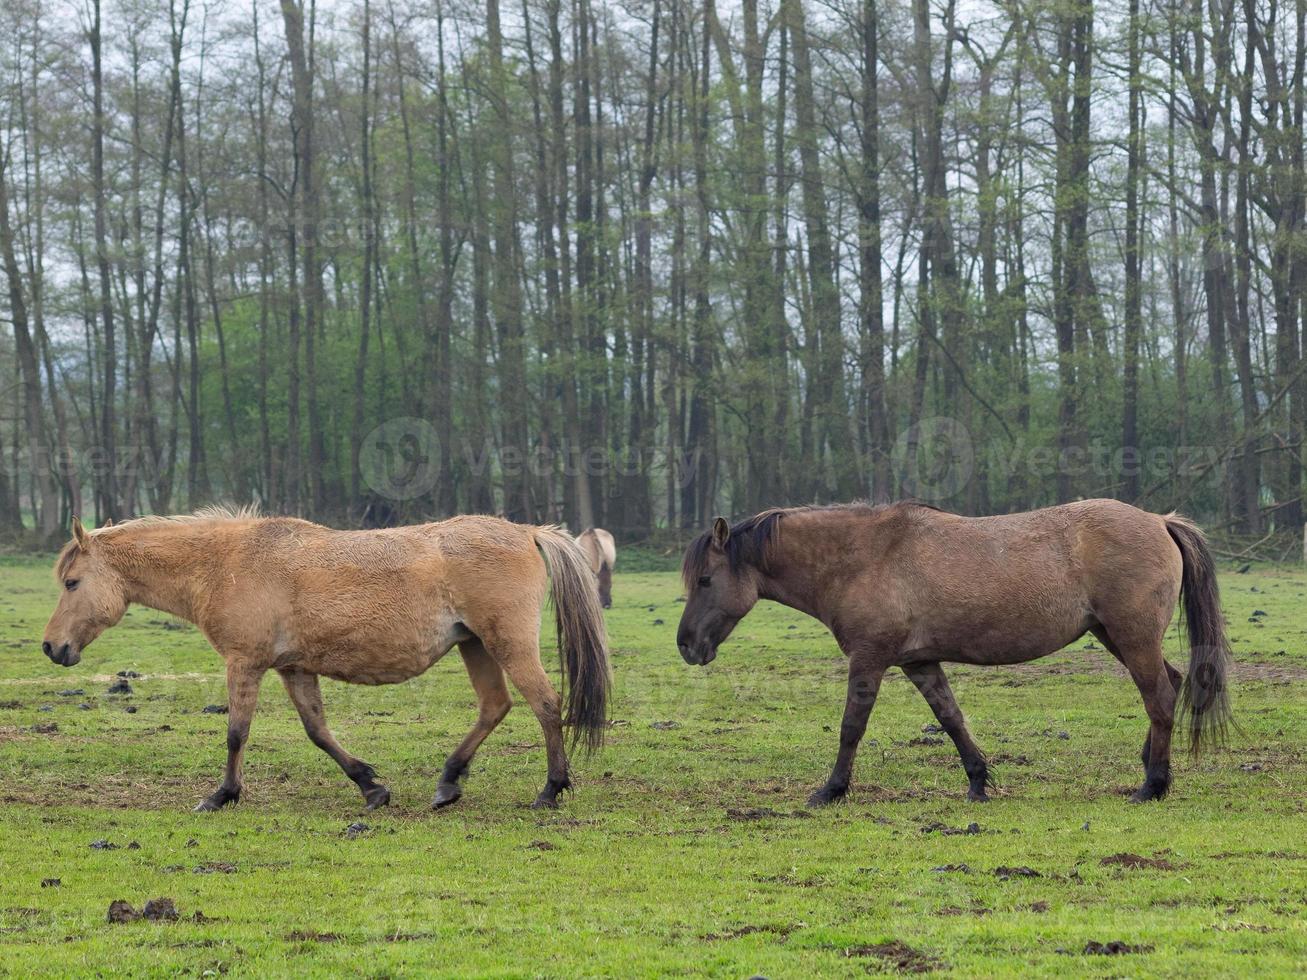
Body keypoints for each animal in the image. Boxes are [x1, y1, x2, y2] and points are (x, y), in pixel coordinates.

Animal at [42, 506, 611, 815]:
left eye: (72, 583)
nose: (51, 647)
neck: (226, 564)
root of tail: (525, 531)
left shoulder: (244, 663)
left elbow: (236, 733)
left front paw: (222, 795)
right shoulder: (294, 668)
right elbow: (318, 732)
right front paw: (371, 787)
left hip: (507, 643)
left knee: (545, 703)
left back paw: (551, 789)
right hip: (475, 645)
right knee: (495, 707)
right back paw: (448, 782)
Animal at [679, 501, 1228, 810]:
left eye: (705, 580)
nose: (686, 646)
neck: (862, 557)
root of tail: (1159, 522)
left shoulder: (869, 660)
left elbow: (852, 726)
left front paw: (831, 791)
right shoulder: (918, 663)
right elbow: (951, 720)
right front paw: (979, 782)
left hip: (1131, 637)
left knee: (1159, 697)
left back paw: (1152, 785)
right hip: (1116, 637)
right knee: (1171, 684)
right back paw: (1150, 766)